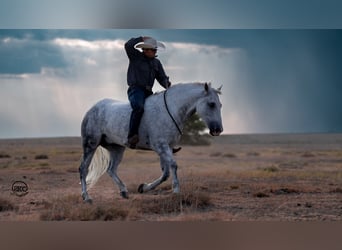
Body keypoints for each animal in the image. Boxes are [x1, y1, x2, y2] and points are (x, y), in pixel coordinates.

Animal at [80, 82, 224, 203]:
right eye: (211, 104)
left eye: (220, 105)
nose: (218, 130)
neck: (171, 110)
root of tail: (92, 109)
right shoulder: (161, 147)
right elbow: (173, 166)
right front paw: (176, 191)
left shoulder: (166, 148)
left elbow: (165, 173)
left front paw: (144, 187)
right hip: (90, 145)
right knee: (84, 169)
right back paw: (87, 197)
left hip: (117, 148)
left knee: (111, 170)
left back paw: (124, 191)